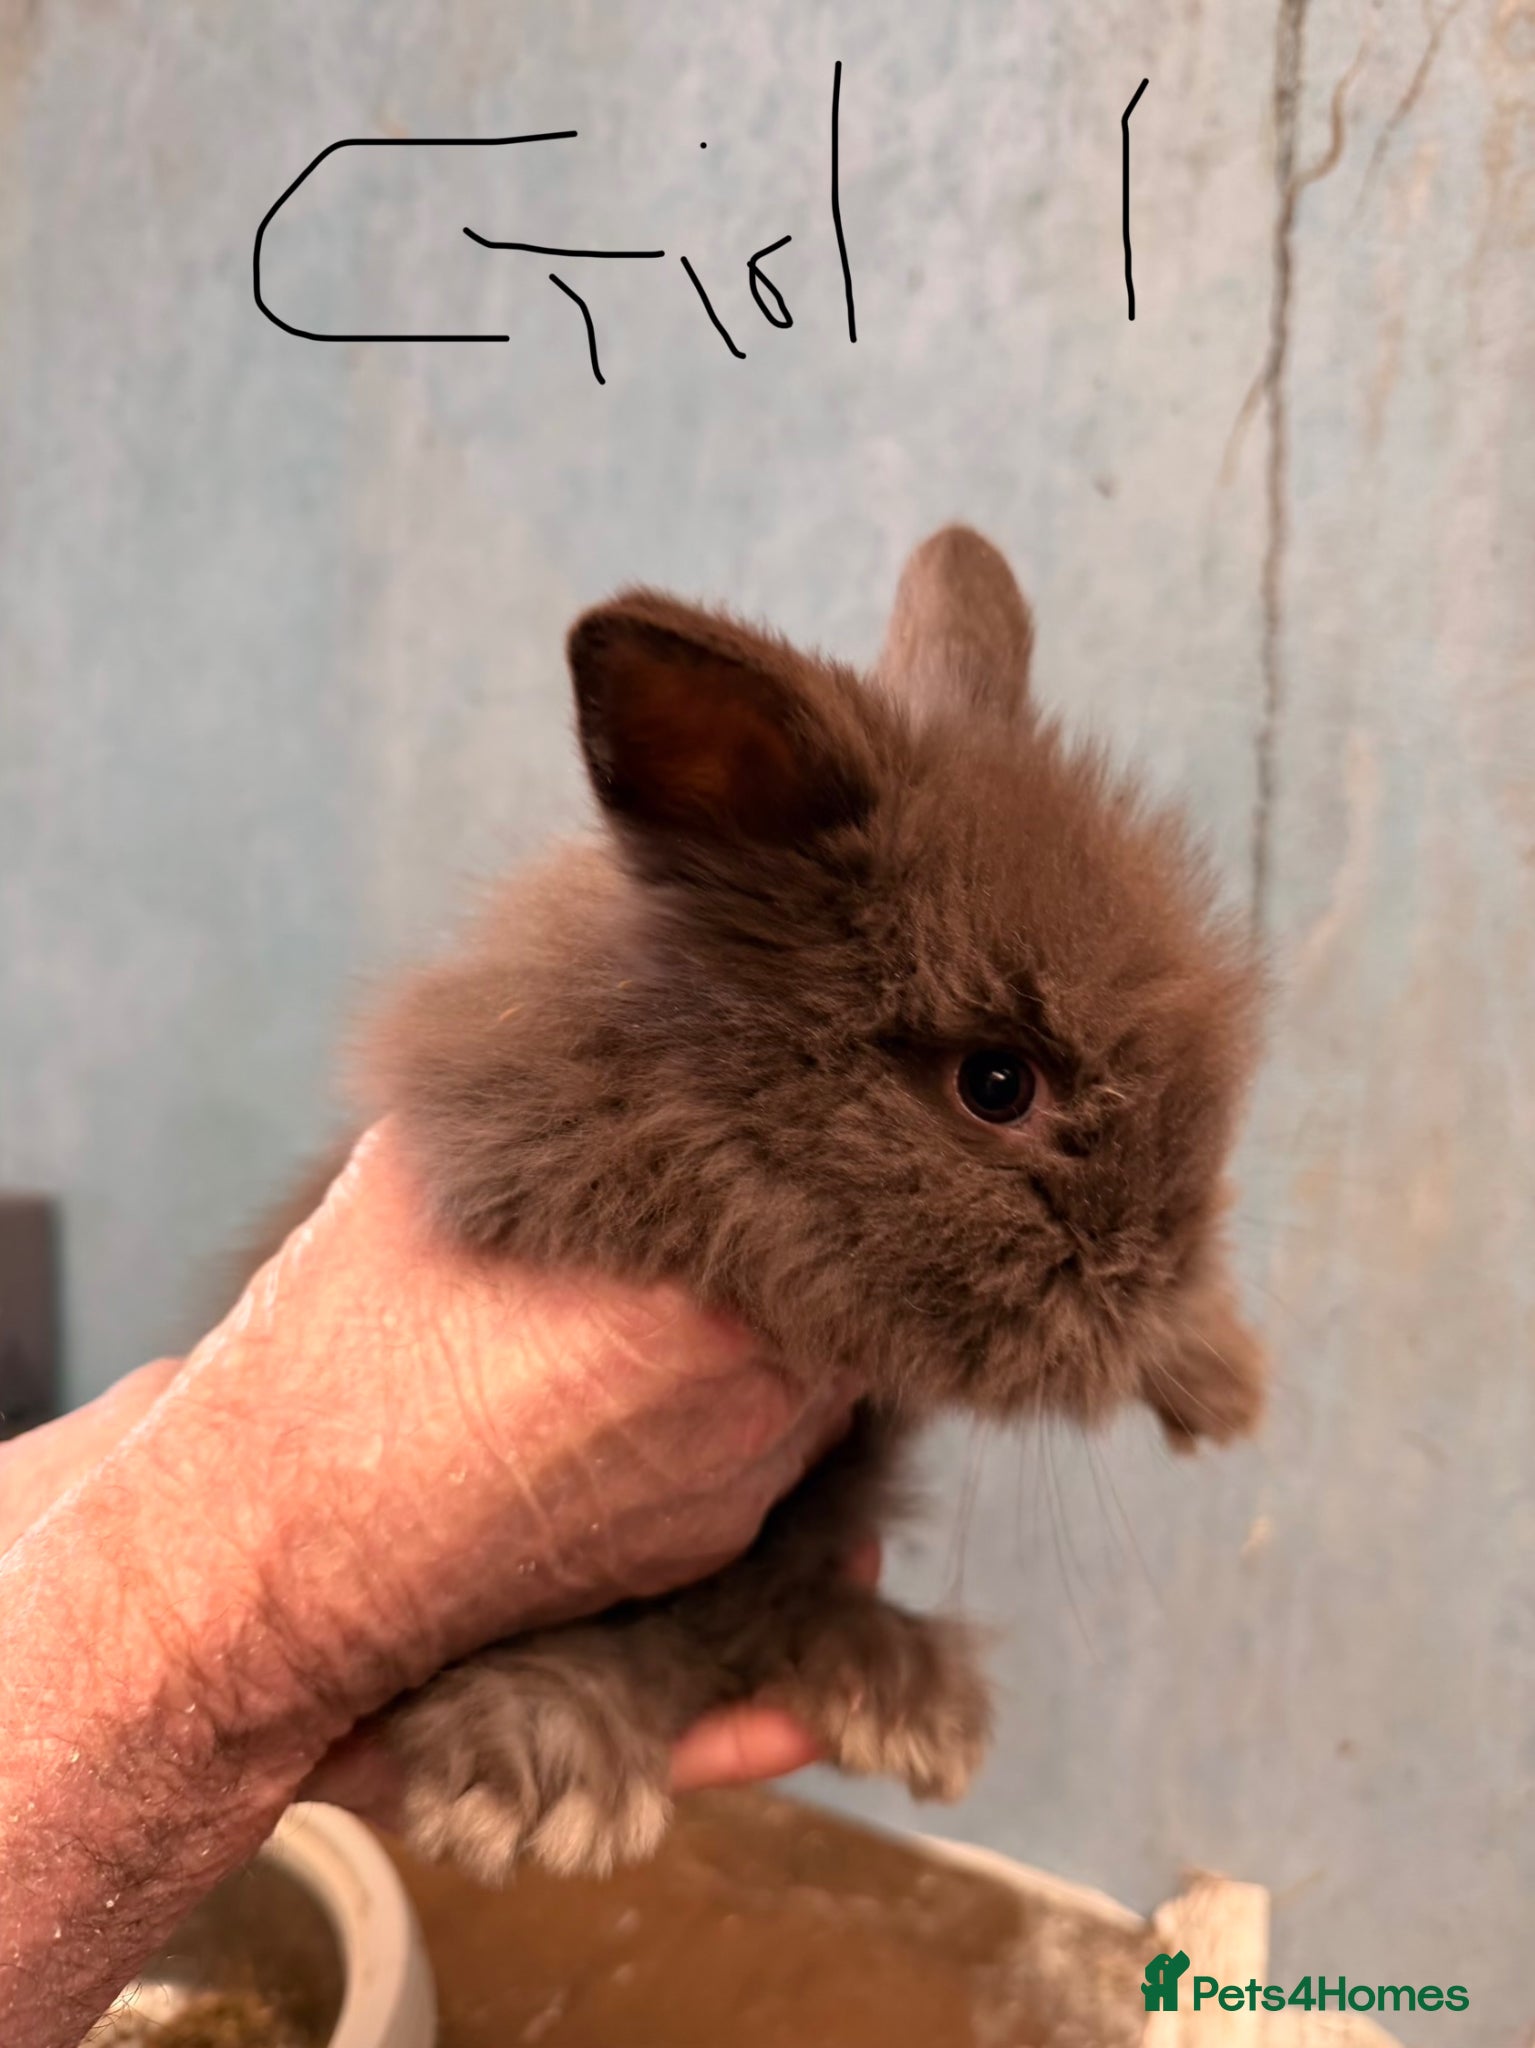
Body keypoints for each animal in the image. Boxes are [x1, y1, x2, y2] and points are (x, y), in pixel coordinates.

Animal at [283, 525, 1267, 1887]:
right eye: (995, 1083)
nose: (1153, 1263)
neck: (728, 1099)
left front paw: (1222, 1382)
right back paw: (555, 1772)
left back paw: (899, 1698)